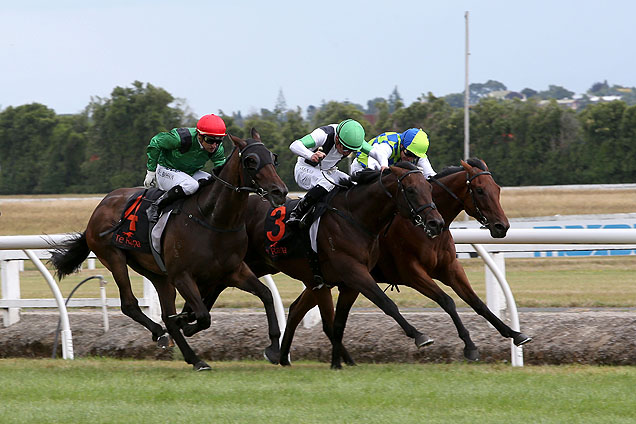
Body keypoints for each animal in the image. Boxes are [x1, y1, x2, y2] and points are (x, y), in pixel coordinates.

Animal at [48, 130, 286, 372]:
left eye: (272, 157)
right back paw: (163, 334)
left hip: (157, 273)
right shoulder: (182, 275)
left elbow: (266, 295)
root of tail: (100, 207)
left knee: (165, 312)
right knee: (130, 304)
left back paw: (194, 357)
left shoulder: (234, 270)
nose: (280, 191)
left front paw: (273, 349)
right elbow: (202, 315)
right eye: (251, 160)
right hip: (114, 258)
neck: (212, 219)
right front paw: (185, 321)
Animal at [278, 157, 532, 366]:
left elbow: (477, 302)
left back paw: (282, 356)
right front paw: (469, 347)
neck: (424, 228)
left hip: (325, 278)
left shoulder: (449, 268)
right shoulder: (411, 272)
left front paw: (515, 334)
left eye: (497, 189)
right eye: (479, 190)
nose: (502, 227)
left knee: (296, 308)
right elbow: (447, 300)